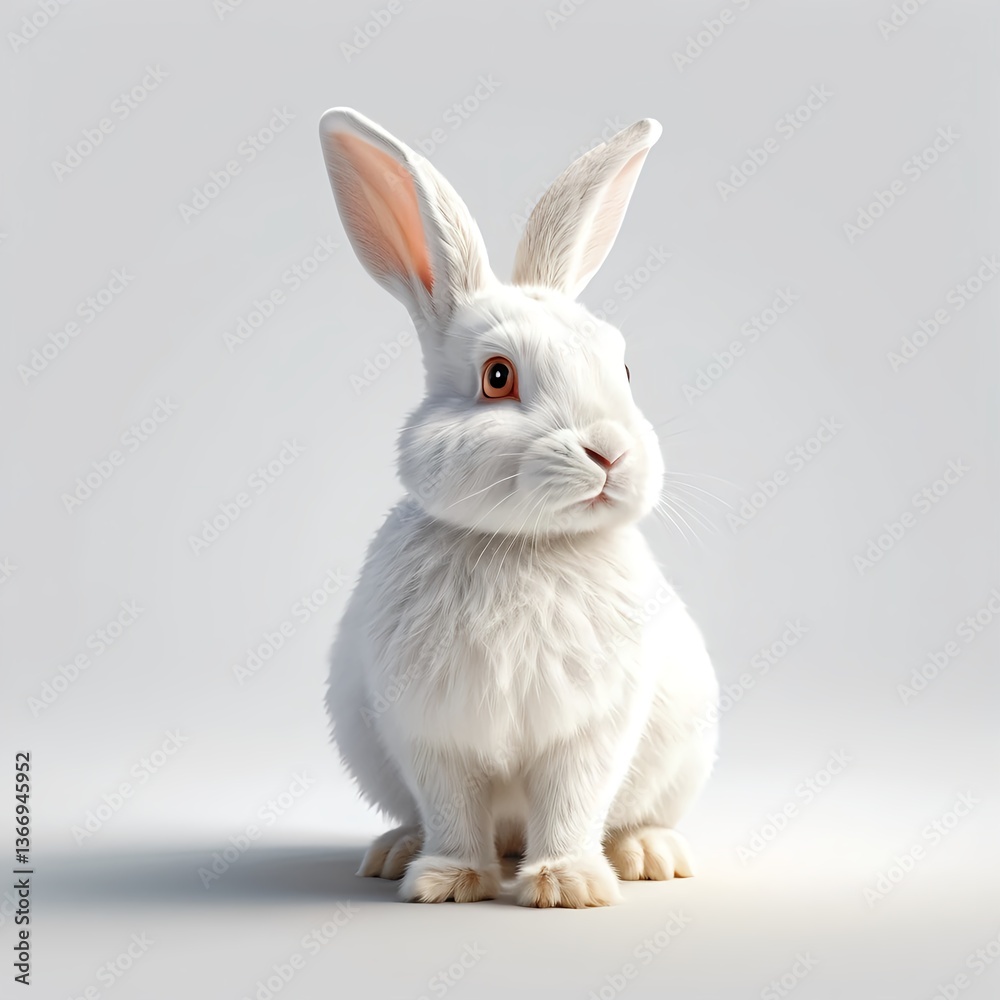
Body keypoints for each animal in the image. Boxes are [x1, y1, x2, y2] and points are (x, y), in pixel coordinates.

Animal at [319, 107, 719, 908]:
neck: (524, 544)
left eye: (624, 367)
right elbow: (451, 806)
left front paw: (568, 886)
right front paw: (447, 880)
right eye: (497, 377)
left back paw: (649, 855)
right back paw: (394, 852)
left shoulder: (589, 730)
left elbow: (572, 802)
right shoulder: (430, 730)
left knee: (635, 814)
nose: (609, 452)